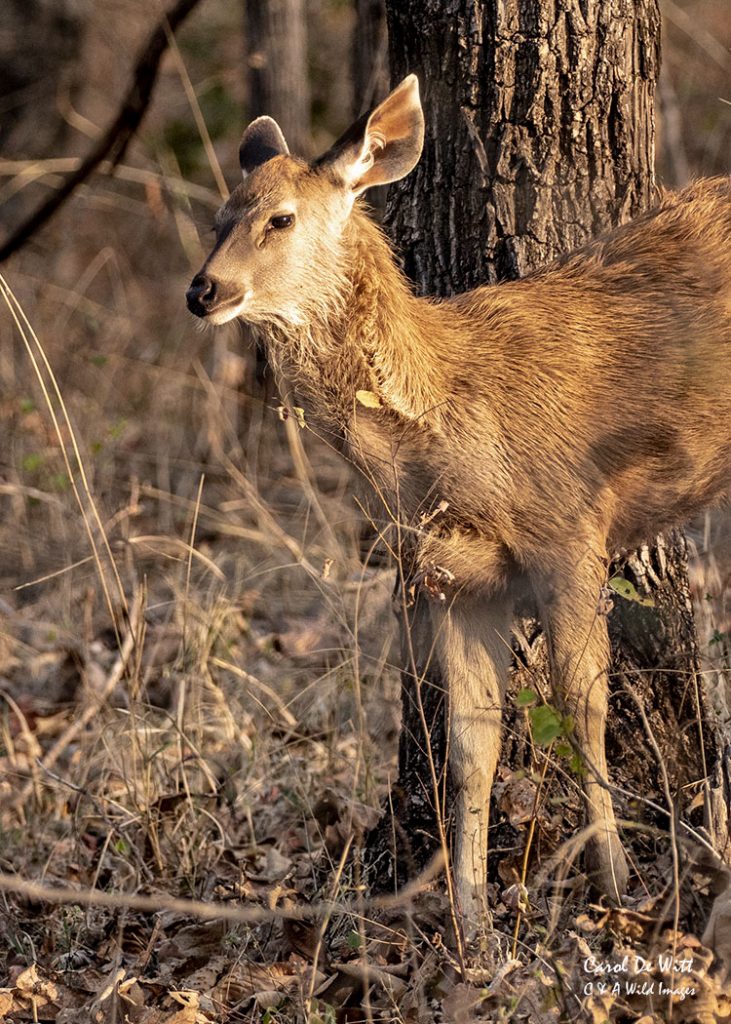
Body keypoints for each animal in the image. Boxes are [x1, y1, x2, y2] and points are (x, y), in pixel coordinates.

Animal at [186, 74, 731, 929]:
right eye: (218, 217)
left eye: (280, 217)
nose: (203, 289)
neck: (447, 419)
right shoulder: (451, 576)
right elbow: (472, 744)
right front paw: (468, 916)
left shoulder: (570, 531)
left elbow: (583, 710)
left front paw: (615, 885)